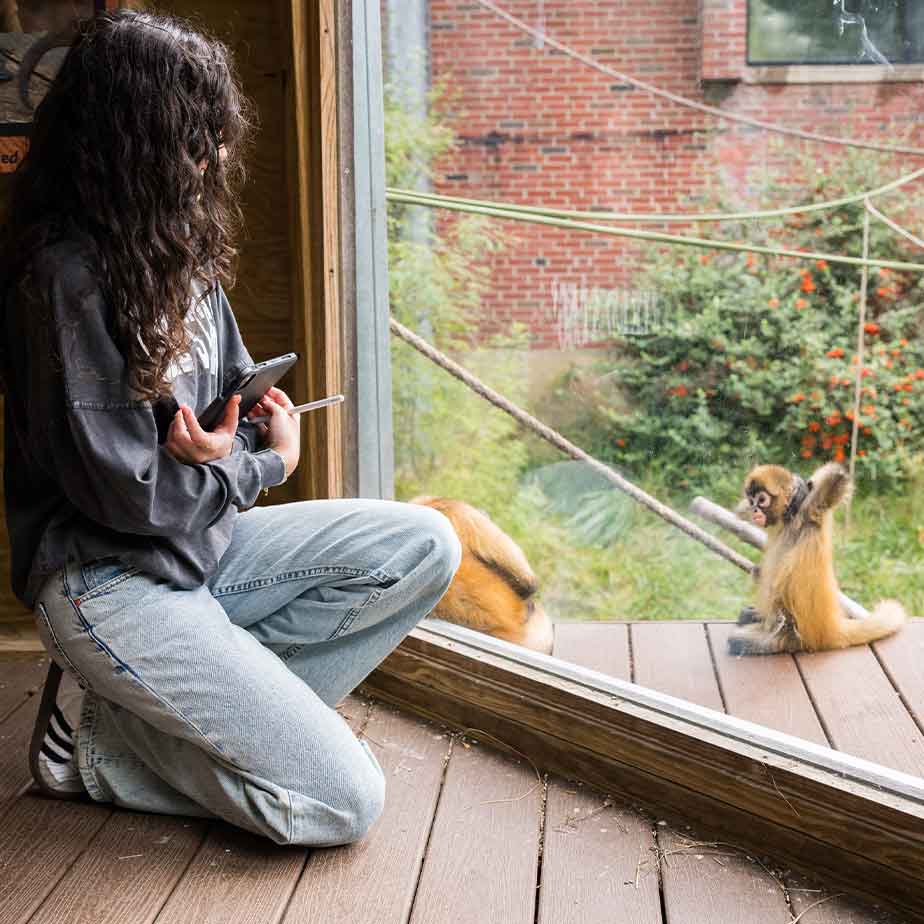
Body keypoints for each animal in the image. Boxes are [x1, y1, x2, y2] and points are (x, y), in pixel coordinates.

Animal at [724, 462, 904, 656]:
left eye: (762, 500)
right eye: (751, 501)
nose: (755, 509)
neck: (788, 521)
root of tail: (828, 628)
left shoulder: (811, 513)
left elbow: (835, 483)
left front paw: (799, 488)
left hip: (794, 637)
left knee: (741, 639)